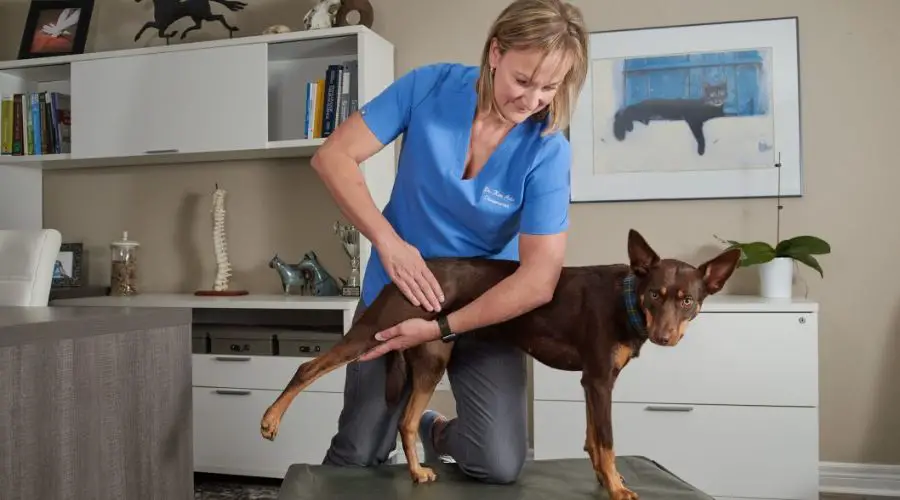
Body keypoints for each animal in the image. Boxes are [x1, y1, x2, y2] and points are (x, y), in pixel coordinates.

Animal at [260, 230, 740, 500]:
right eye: (655, 294)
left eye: (688, 300)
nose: (665, 337)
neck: (627, 298)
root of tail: (407, 276)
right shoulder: (599, 381)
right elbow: (605, 441)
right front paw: (619, 487)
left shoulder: (593, 384)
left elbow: (592, 439)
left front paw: (606, 481)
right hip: (372, 334)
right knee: (308, 369)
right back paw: (270, 420)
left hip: (431, 358)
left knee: (408, 422)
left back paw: (416, 471)